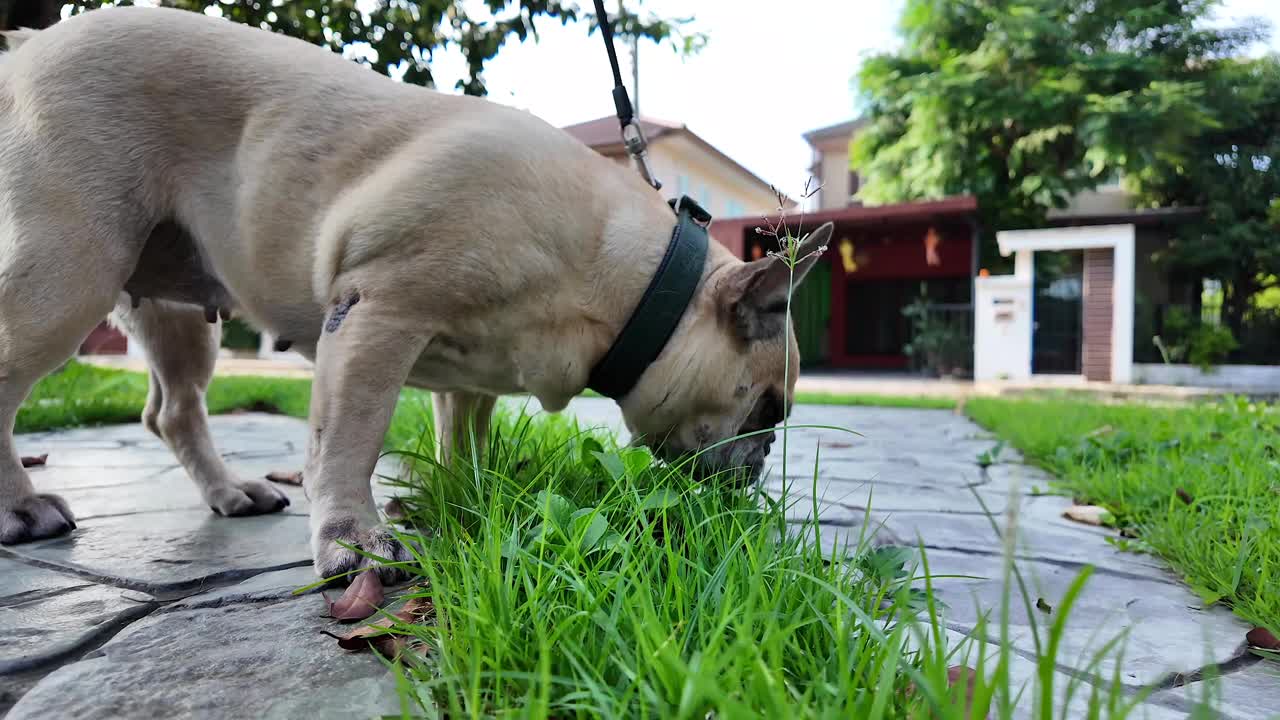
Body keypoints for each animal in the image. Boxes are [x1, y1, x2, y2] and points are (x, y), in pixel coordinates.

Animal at [0, 7, 829, 584]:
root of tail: (27, 47)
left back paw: (230, 492)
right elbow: (349, 438)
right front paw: (352, 540)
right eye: (768, 410)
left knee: (175, 409)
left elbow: (464, 442)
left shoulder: (472, 376)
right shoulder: (378, 313)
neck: (628, 282)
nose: (761, 462)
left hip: (174, 312)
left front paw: (468, 501)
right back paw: (22, 506)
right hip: (67, 269)